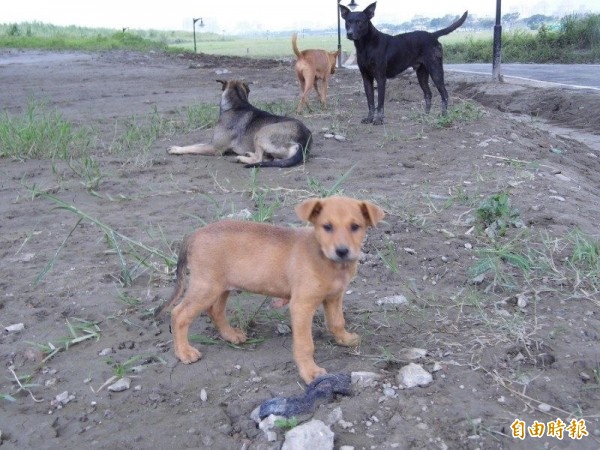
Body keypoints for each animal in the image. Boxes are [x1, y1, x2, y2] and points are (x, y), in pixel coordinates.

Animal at [157, 196, 384, 384]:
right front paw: (310, 372)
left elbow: (337, 322)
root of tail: (194, 234)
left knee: (215, 311)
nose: (342, 251)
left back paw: (230, 335)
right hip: (206, 287)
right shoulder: (301, 306)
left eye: (355, 226)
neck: (327, 260)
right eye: (327, 227)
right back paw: (184, 352)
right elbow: (305, 344)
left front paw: (344, 339)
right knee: (179, 314)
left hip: (221, 287)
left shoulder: (334, 297)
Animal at [168, 78, 312, 168]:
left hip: (261, 133)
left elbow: (193, 148)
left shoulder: (215, 148)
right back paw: (248, 154)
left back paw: (241, 158)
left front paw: (176, 150)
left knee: (259, 159)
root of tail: (304, 139)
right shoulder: (212, 143)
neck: (238, 104)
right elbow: (194, 144)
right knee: (268, 158)